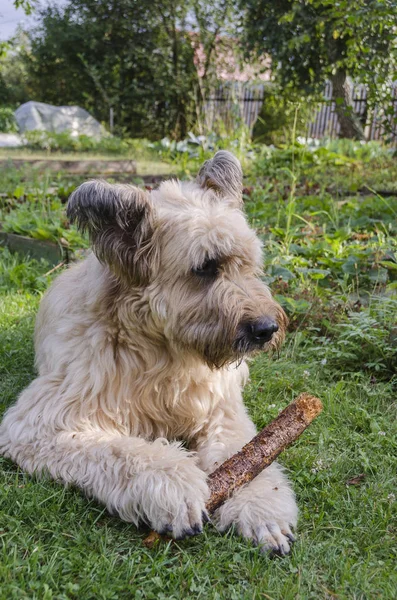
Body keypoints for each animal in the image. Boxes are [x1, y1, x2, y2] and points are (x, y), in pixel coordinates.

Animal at [0, 152, 296, 556]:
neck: (163, 354)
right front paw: (176, 488)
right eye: (205, 267)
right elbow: (122, 451)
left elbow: (247, 453)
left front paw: (262, 507)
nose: (267, 329)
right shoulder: (40, 423)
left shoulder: (222, 410)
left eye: (248, 263)